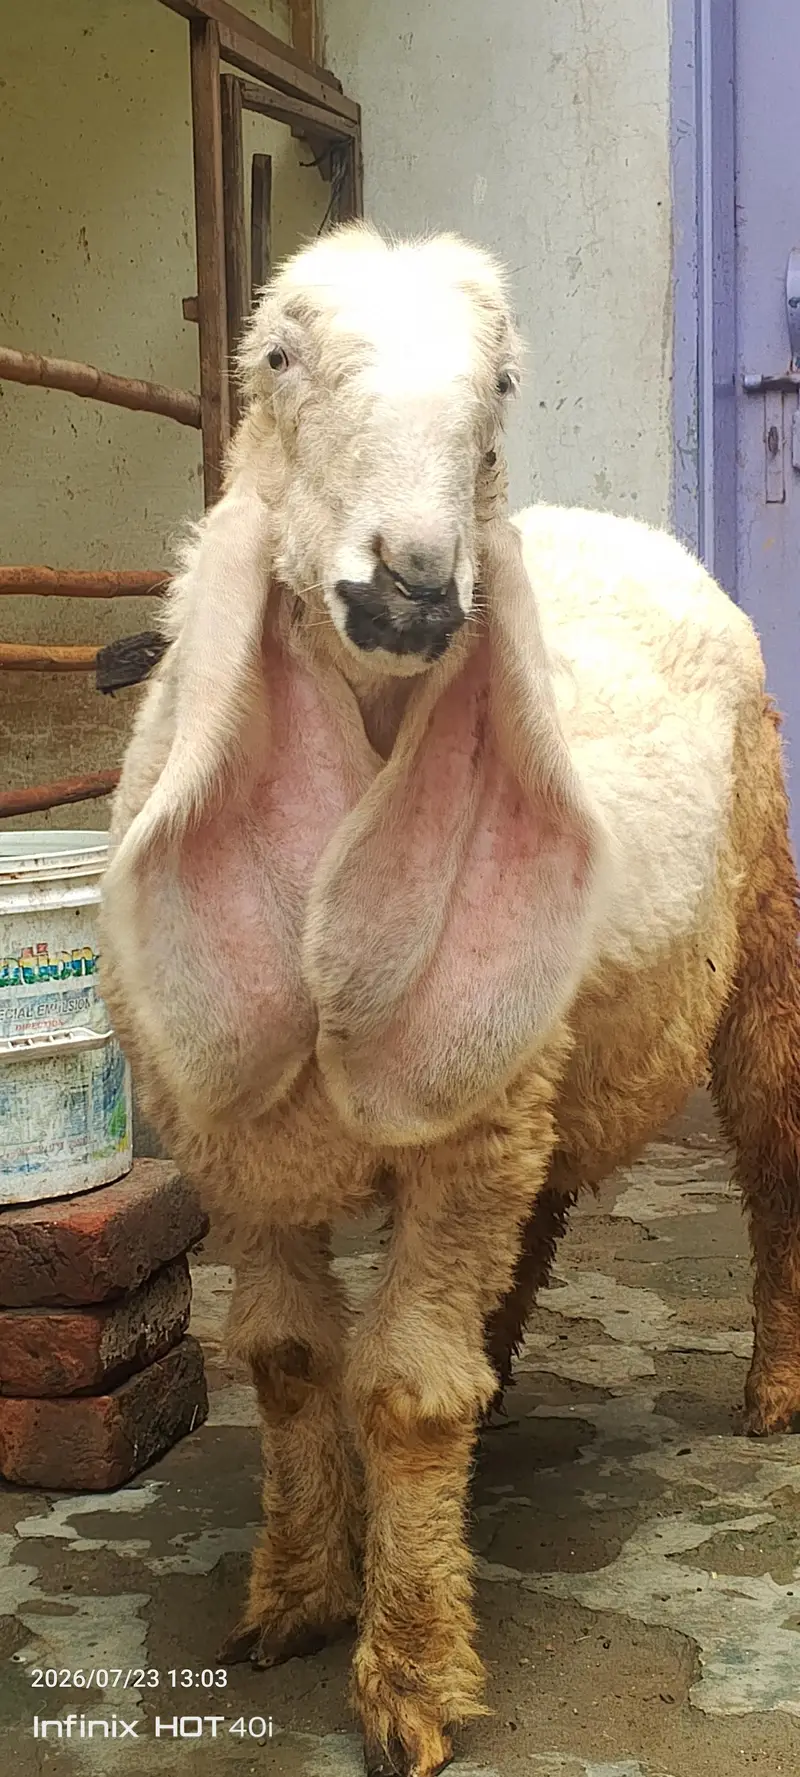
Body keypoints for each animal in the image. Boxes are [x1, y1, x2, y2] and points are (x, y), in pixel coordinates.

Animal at [100, 222, 800, 1777]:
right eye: (277, 357)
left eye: (502, 385)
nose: (417, 584)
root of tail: (621, 527)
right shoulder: (243, 1139)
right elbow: (289, 1360)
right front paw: (294, 1594)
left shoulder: (465, 1142)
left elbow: (404, 1391)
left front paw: (409, 1668)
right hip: (525, 1057)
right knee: (536, 1212)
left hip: (761, 953)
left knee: (777, 1167)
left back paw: (776, 1385)